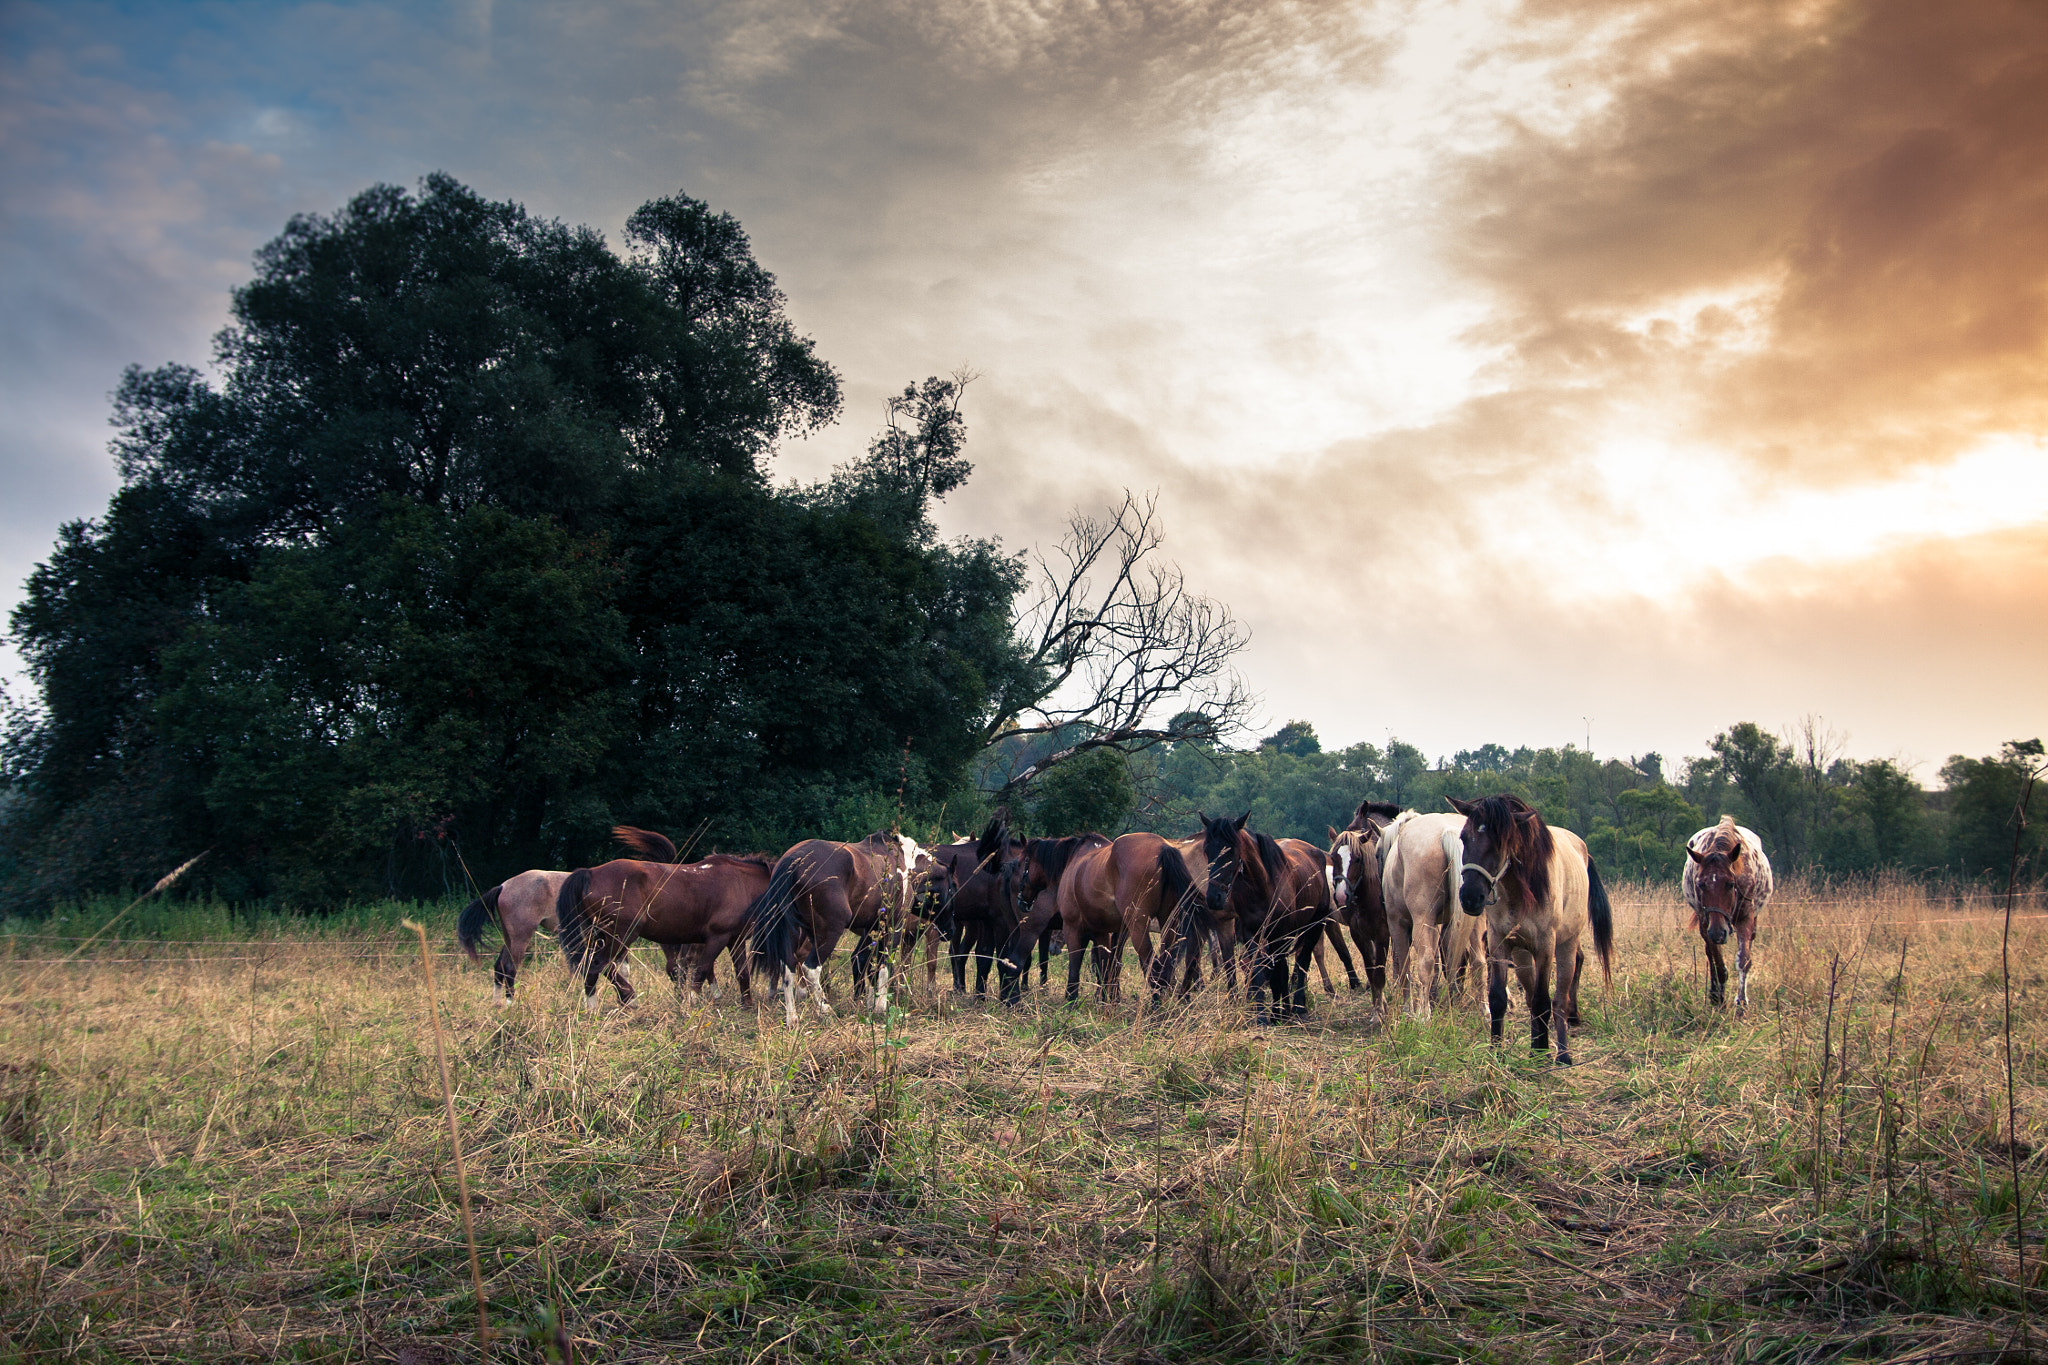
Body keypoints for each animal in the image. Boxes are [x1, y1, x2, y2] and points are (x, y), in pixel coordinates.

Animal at [554, 827, 770, 1012]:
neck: (742, 882)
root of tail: (589, 872)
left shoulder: (735, 939)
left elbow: (742, 973)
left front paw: (747, 1005)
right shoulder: (718, 937)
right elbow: (702, 970)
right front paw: (692, 1002)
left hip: (599, 935)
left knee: (591, 964)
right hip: (621, 935)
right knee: (600, 964)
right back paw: (623, 999)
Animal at [749, 830, 929, 1025]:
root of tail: (794, 859)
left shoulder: (870, 929)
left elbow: (867, 964)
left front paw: (869, 1004)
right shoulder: (893, 926)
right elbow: (883, 965)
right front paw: (880, 1007)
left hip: (794, 932)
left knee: (788, 969)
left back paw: (793, 1019)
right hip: (829, 932)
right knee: (811, 969)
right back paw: (826, 1011)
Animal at [1376, 810, 1485, 1018]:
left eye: (1377, 854)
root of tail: (1447, 830)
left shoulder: (1397, 924)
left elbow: (1404, 965)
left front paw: (1408, 1008)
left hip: (1421, 919)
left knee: (1424, 962)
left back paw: (1423, 1015)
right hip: (1475, 921)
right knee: (1479, 961)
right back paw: (1486, 1012)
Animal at [1451, 795, 1614, 1065]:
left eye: (1501, 842)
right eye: (1464, 837)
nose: (1471, 897)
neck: (1520, 891)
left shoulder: (1545, 947)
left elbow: (1543, 1000)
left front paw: (1542, 1051)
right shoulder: (1500, 943)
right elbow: (1499, 998)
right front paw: (1497, 1051)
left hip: (1566, 946)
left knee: (1560, 998)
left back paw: (1562, 1053)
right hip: (1522, 955)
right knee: (1530, 996)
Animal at [1683, 816, 1773, 1013]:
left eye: (1731, 884)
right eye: (1701, 884)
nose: (1718, 933)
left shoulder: (1746, 918)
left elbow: (1744, 960)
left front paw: (1741, 1002)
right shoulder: (1705, 923)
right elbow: (1718, 965)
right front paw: (1719, 999)